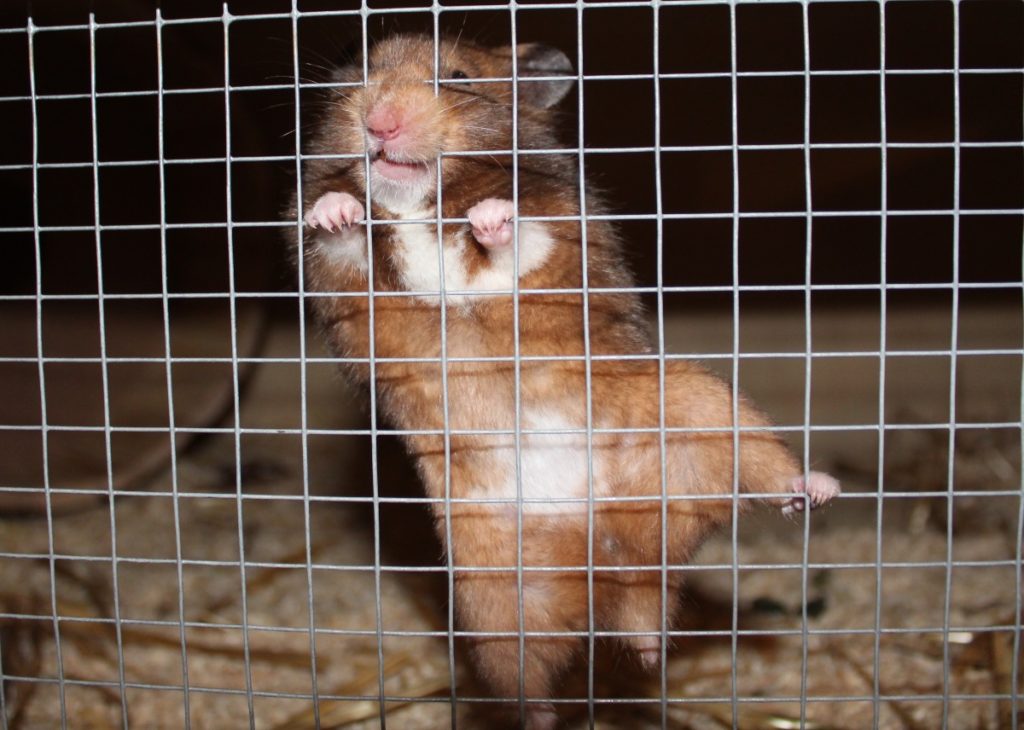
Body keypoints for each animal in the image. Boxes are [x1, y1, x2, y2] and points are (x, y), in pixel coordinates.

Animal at [292, 34, 840, 729]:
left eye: (458, 77)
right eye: (359, 78)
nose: (379, 123)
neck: (424, 202)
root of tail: (612, 561)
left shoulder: (557, 236)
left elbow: (516, 242)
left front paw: (490, 216)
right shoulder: (344, 285)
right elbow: (347, 240)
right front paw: (337, 208)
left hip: (702, 407)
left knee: (768, 474)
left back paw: (815, 489)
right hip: (489, 597)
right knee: (528, 678)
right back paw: (560, 703)